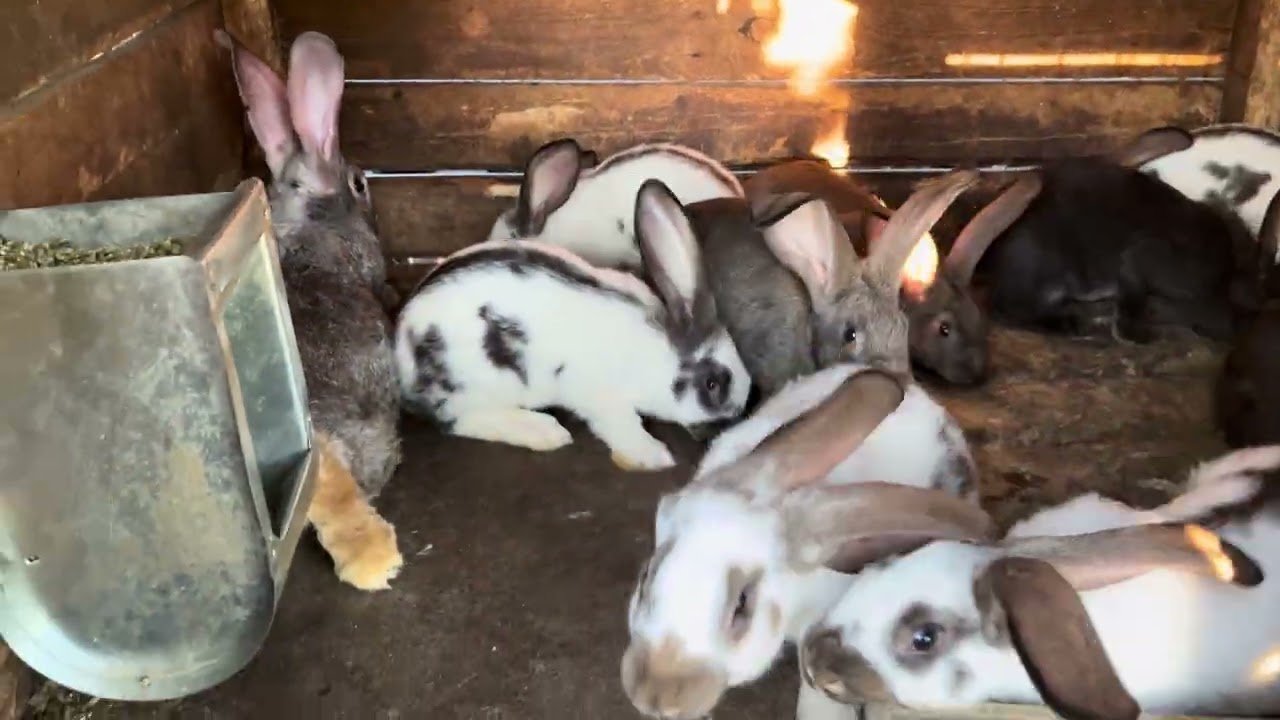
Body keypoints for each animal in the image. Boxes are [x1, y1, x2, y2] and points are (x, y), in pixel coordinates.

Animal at [394, 179, 752, 472]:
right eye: (712, 384)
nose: (733, 415)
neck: (657, 351)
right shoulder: (603, 399)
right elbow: (623, 428)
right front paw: (654, 455)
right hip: (471, 386)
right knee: (459, 420)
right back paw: (544, 431)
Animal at [983, 127, 1265, 344]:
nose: (1226, 332)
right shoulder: (1140, 260)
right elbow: (1132, 304)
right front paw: (1137, 335)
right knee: (1007, 309)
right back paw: (1066, 323)